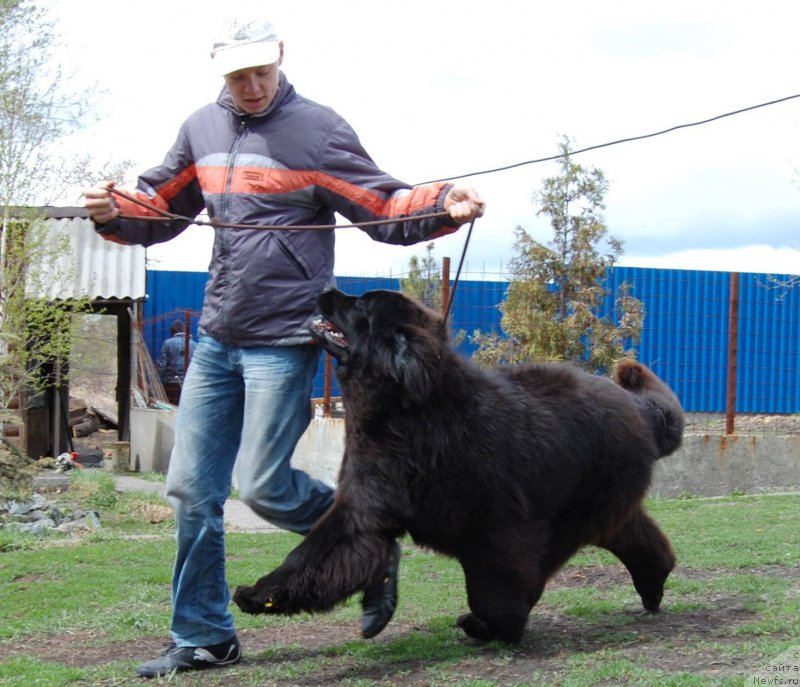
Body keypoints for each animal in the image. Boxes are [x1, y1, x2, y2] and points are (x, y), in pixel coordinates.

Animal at [234, 286, 684, 644]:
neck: (411, 415)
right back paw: (654, 584)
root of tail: (639, 408)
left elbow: (493, 592)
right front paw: (259, 594)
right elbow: (312, 555)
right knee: (635, 535)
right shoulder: (363, 506)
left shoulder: (498, 531)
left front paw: (496, 627)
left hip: (576, 510)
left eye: (360, 304)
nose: (325, 289)